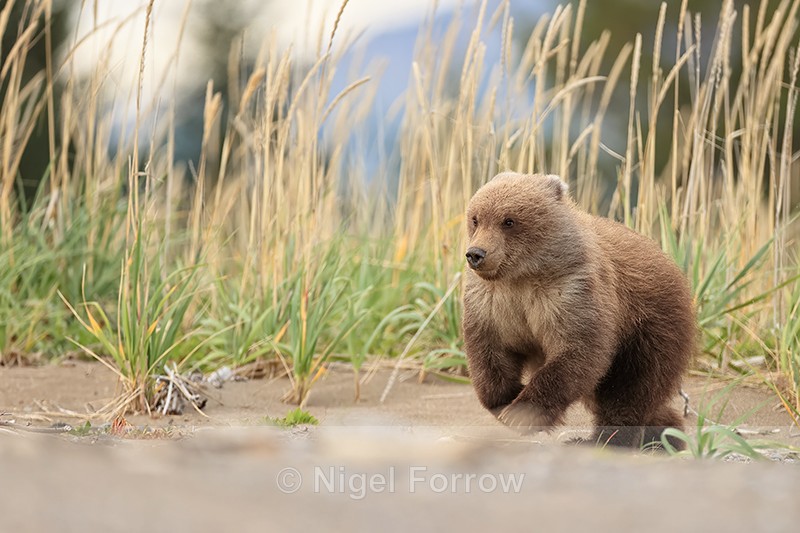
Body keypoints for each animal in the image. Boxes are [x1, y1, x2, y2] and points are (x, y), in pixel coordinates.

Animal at [462, 172, 695, 449]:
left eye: (509, 220)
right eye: (475, 218)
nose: (476, 253)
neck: (523, 276)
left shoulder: (571, 294)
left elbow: (578, 350)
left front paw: (522, 413)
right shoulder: (493, 303)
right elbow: (490, 353)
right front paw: (508, 398)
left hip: (650, 326)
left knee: (630, 387)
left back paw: (603, 439)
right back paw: (664, 433)